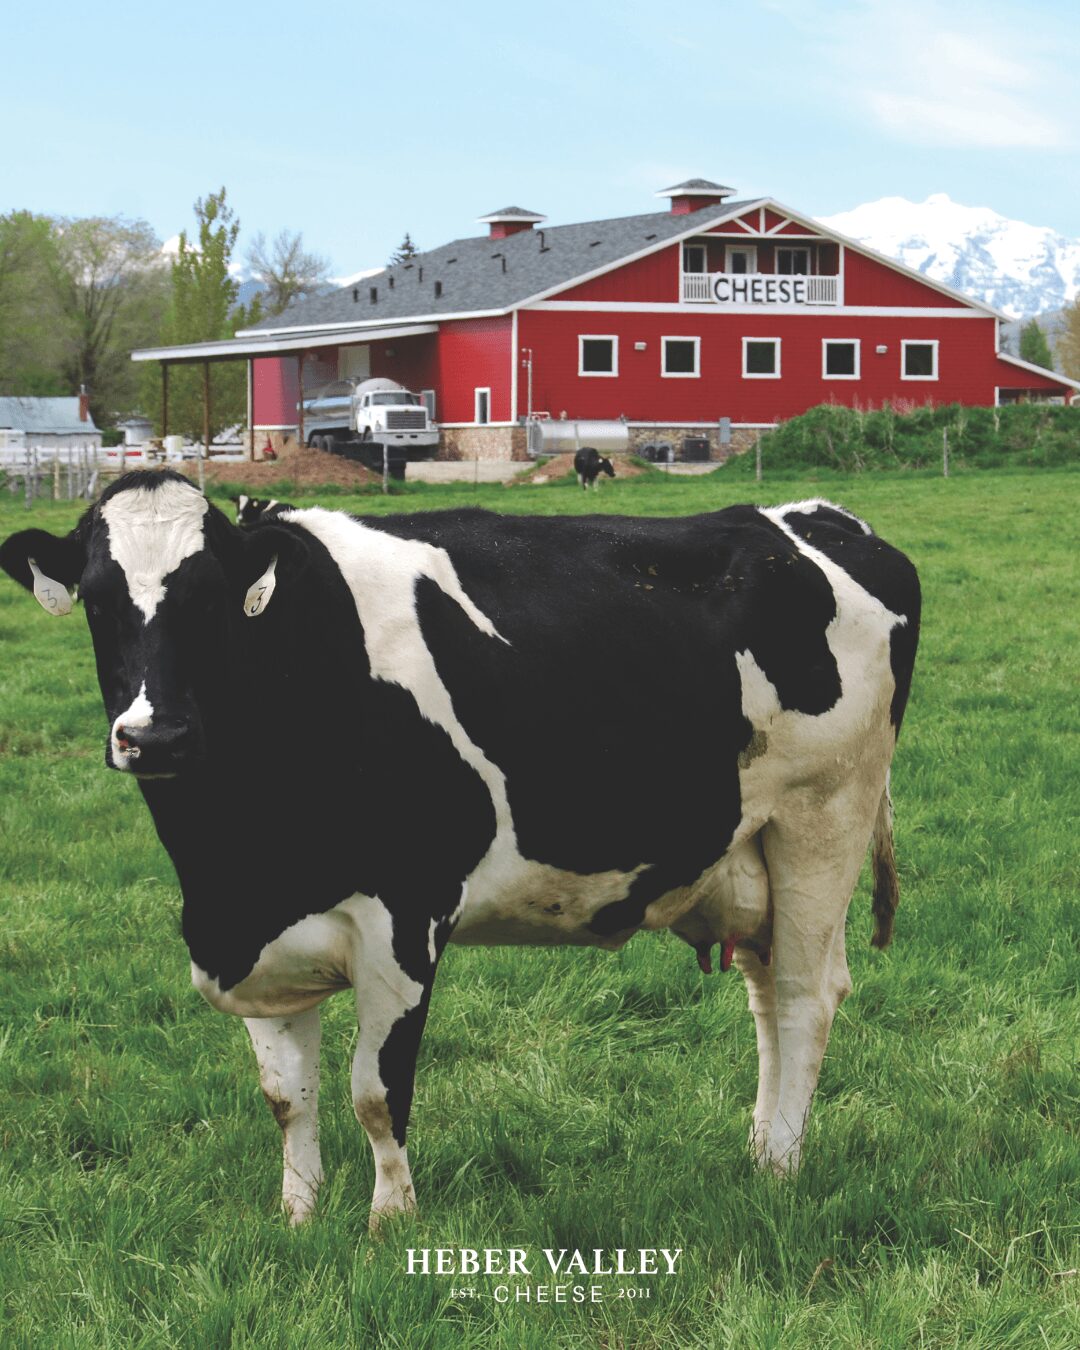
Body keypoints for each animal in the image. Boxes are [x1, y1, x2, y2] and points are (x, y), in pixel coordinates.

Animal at [0, 470, 919, 1230]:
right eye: (95, 601)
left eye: (212, 599)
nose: (155, 737)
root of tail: (812, 519)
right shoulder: (257, 931)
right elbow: (286, 1097)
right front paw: (298, 1218)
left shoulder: (405, 914)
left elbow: (376, 1091)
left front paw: (389, 1225)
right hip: (748, 850)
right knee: (766, 996)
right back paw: (761, 1150)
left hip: (821, 818)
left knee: (804, 996)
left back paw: (782, 1170)